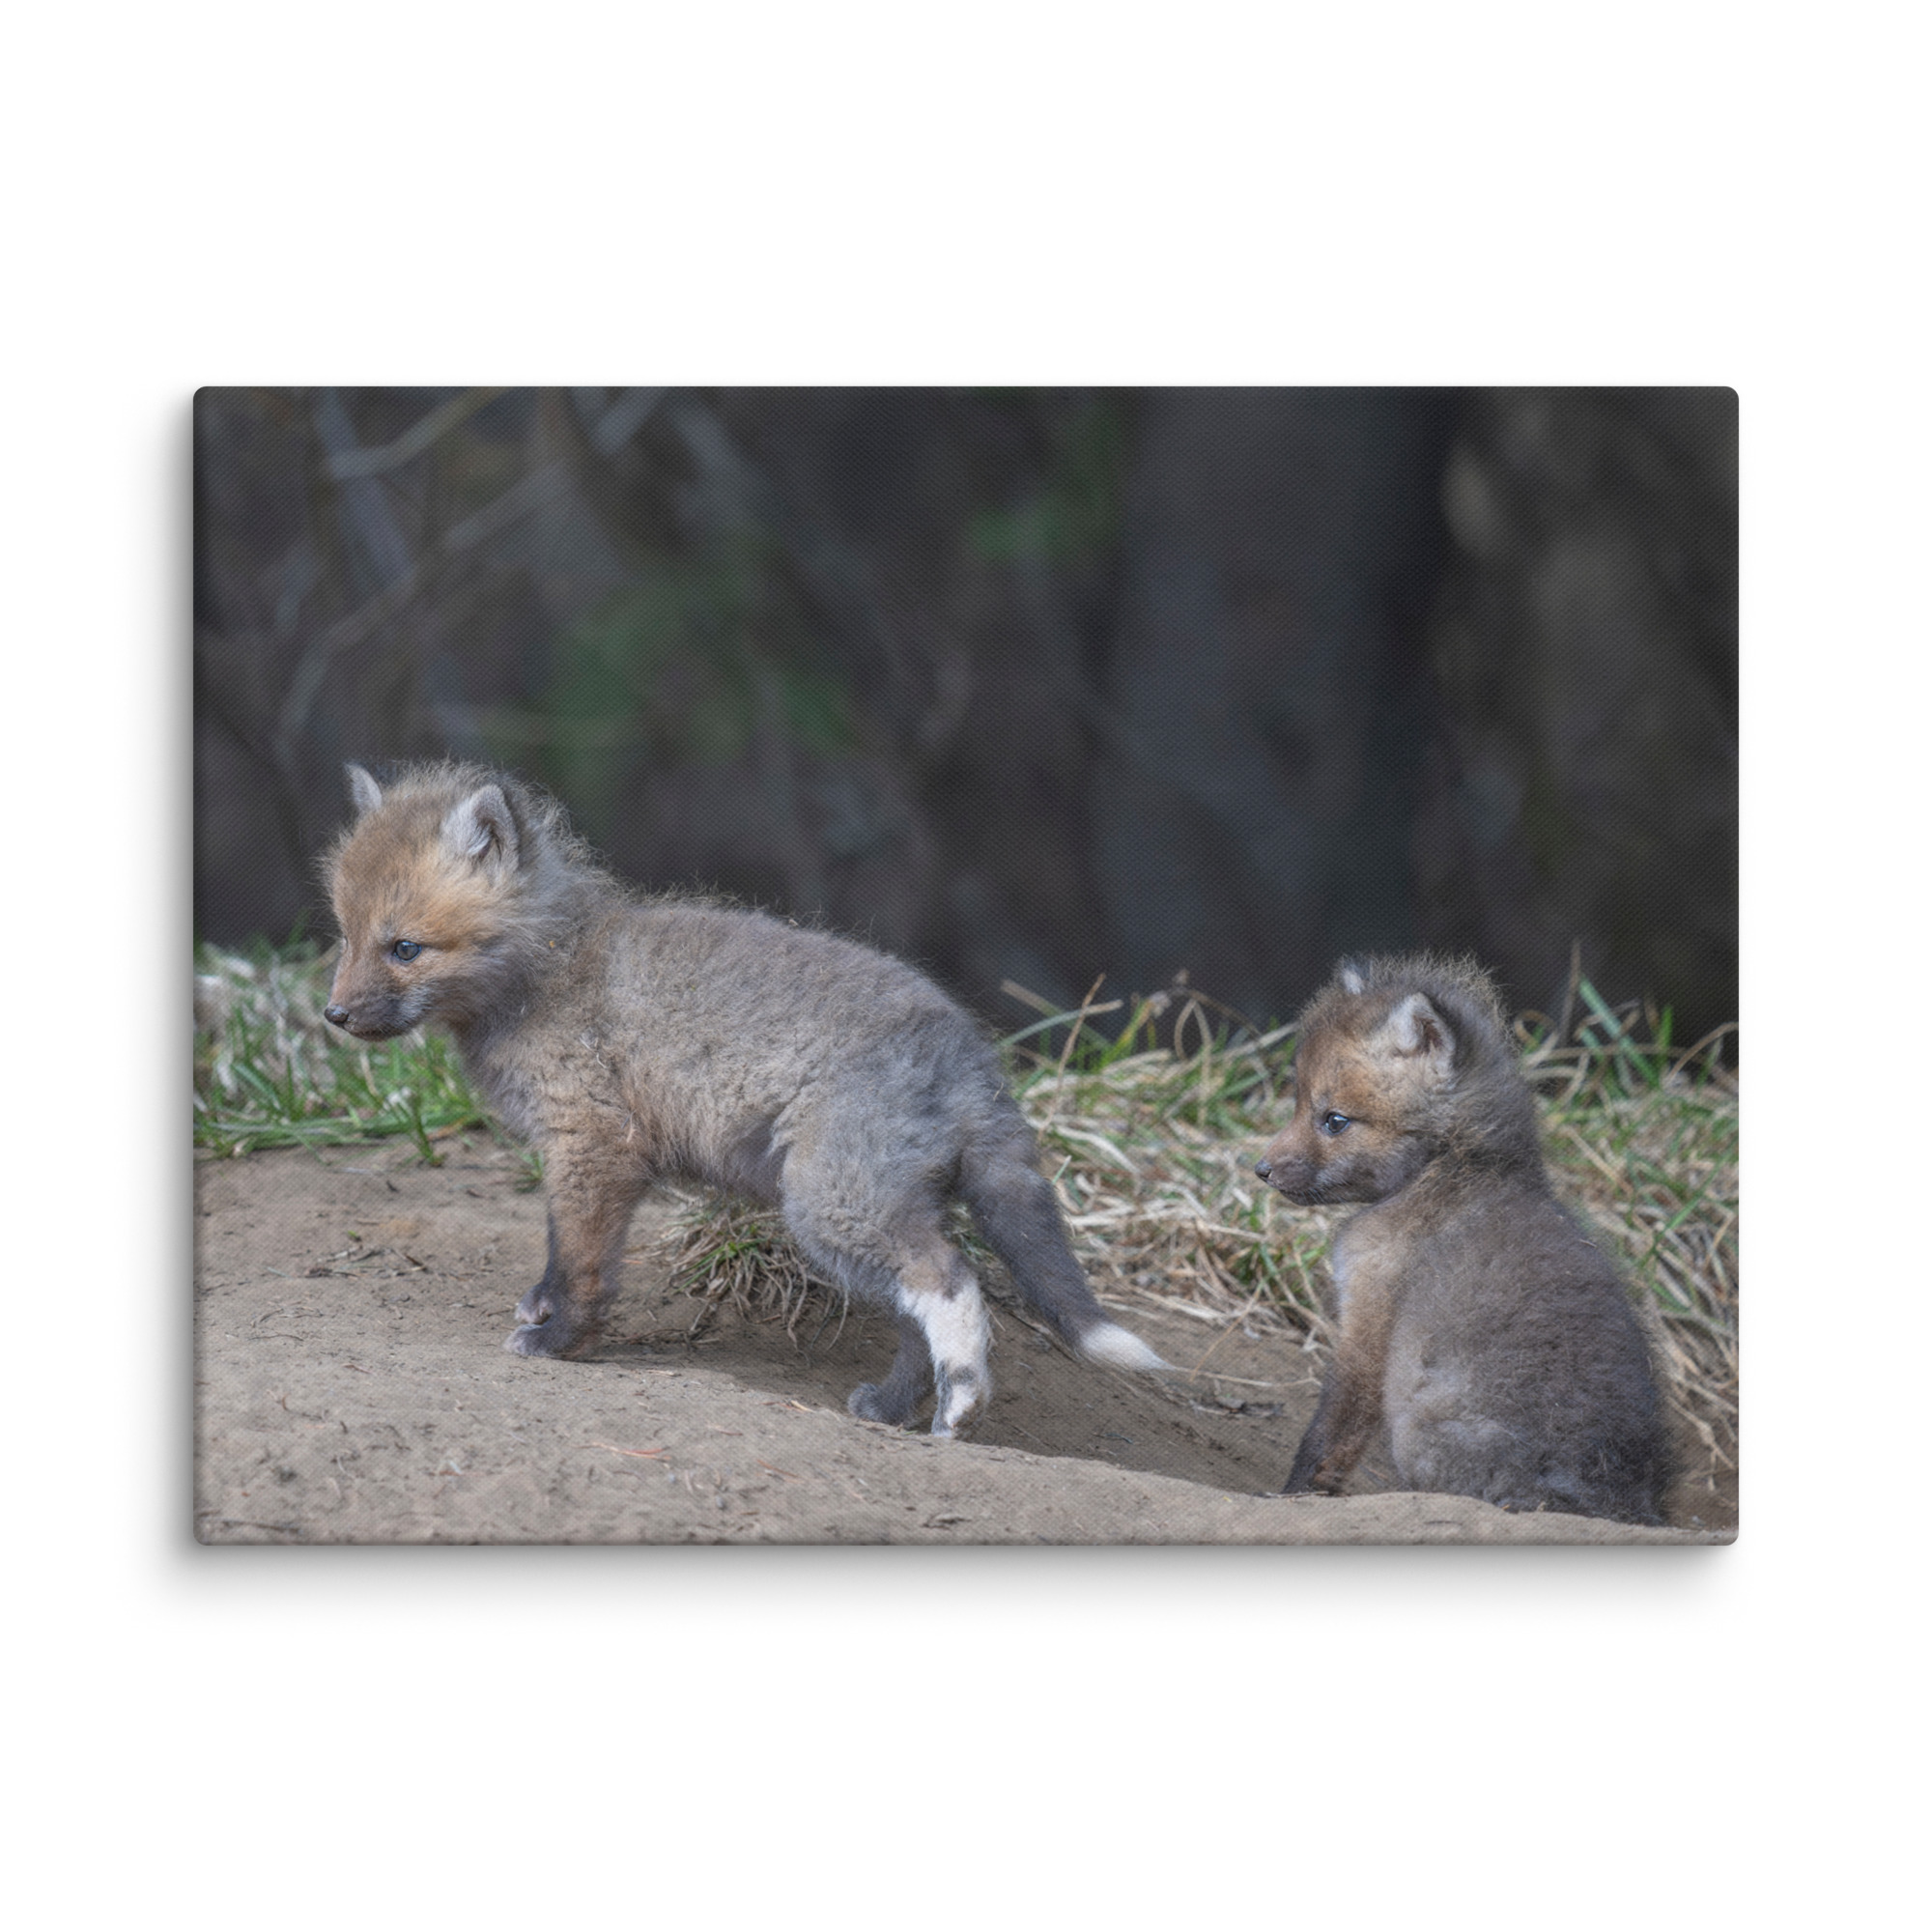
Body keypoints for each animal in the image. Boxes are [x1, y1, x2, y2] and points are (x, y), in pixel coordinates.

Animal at [322, 760, 1167, 1436]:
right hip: (871, 1213)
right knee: (915, 1316)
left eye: (405, 948)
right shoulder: (585, 1154)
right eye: (345, 936)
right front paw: (545, 1310)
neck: (550, 969)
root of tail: (971, 1055)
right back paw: (894, 1410)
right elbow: (562, 1252)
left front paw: (561, 1341)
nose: (332, 1016)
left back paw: (961, 1406)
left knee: (951, 1283)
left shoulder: (593, 1144)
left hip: (832, 1206)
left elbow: (582, 1261)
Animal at [1254, 954, 1670, 1525]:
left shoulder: (1369, 1321)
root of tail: (1615, 1501)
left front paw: (1292, 1498)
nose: (1261, 1170)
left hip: (1417, 1431)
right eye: (1297, 1103)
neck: (1451, 1169)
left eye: (1335, 1121)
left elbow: (1328, 1435)